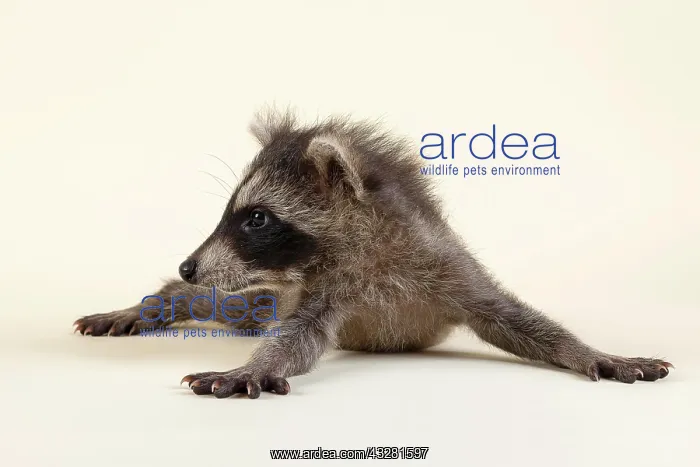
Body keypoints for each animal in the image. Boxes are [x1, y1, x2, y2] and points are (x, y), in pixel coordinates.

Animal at [74, 110, 673, 398]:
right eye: (240, 215)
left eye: (256, 218)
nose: (188, 265)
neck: (366, 247)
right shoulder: (318, 290)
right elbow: (294, 339)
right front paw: (254, 364)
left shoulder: (443, 265)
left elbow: (516, 320)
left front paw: (589, 351)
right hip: (267, 295)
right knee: (230, 304)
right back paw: (160, 302)